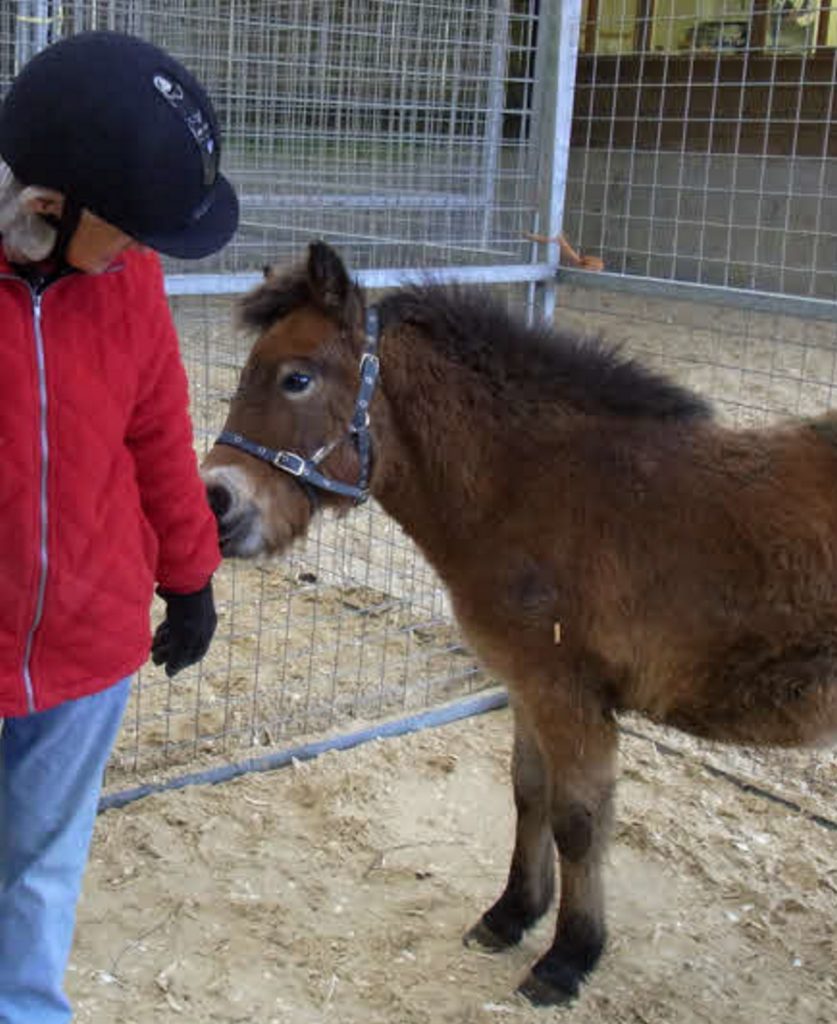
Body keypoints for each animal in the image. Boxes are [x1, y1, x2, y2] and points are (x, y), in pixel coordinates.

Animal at [198, 243, 831, 1003]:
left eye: (295, 378)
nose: (217, 502)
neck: (537, 491)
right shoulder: (526, 685)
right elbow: (529, 794)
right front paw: (511, 915)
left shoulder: (569, 697)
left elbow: (579, 821)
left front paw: (568, 957)